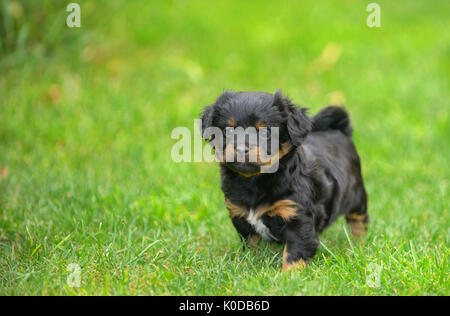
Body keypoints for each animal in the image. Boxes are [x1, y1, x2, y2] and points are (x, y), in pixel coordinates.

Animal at [199, 90, 368, 272]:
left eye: (265, 133)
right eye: (228, 131)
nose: (241, 149)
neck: (254, 180)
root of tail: (339, 130)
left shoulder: (297, 216)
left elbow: (295, 252)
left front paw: (289, 275)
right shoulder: (240, 216)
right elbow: (252, 244)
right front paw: (251, 261)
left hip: (356, 193)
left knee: (359, 219)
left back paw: (358, 243)